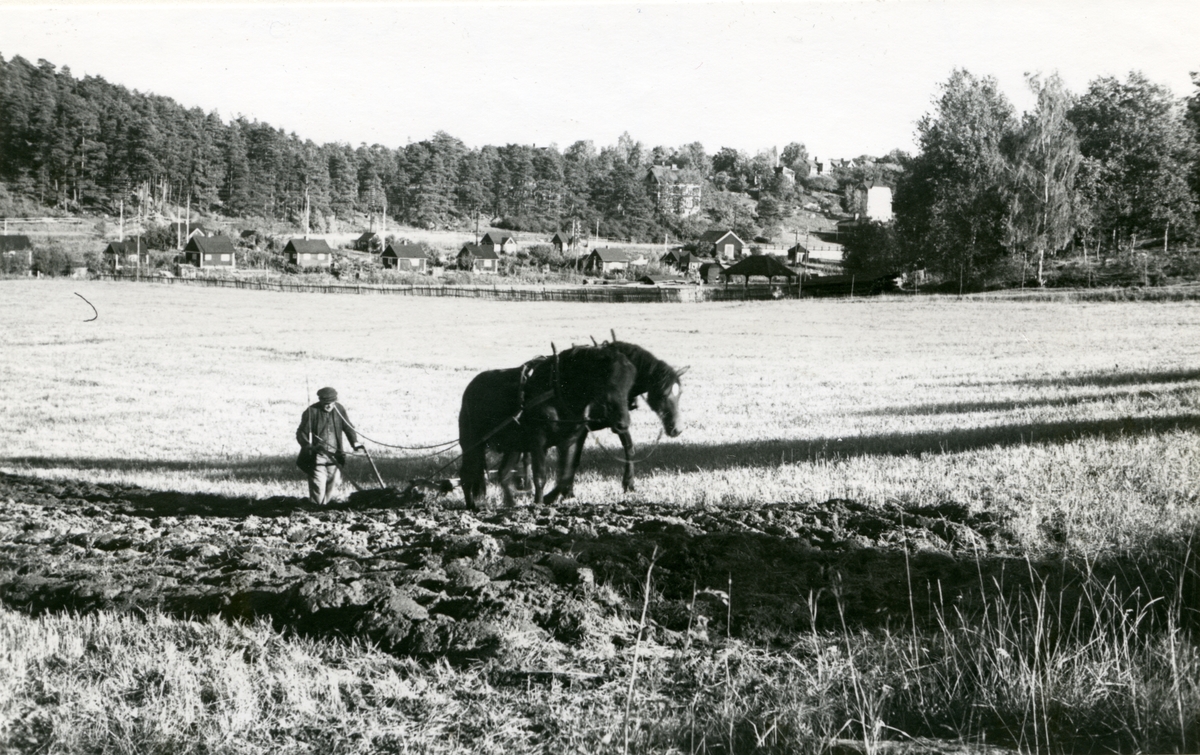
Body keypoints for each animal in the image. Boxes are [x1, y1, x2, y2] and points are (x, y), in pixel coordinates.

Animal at [458, 345, 636, 509]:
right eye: (608, 382)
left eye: (629, 384)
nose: (622, 423)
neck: (558, 392)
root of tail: (470, 388)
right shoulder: (539, 441)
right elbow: (540, 476)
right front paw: (538, 503)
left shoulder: (570, 441)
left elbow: (565, 475)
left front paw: (553, 497)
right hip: (471, 444)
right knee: (466, 475)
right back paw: (471, 506)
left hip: (513, 447)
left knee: (503, 473)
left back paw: (510, 504)